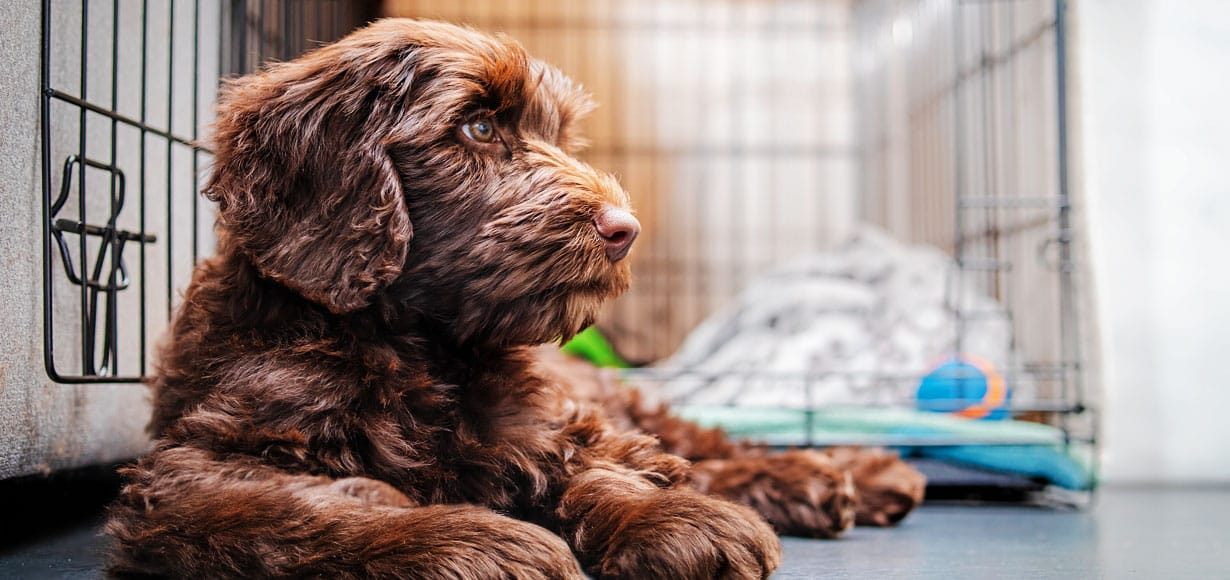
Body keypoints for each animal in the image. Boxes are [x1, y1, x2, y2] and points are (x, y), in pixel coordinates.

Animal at [105, 19, 924, 580]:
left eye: (557, 135)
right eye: (476, 126)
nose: (624, 230)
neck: (418, 345)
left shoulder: (544, 421)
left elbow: (599, 466)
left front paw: (670, 517)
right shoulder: (193, 473)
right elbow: (313, 508)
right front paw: (472, 543)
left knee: (709, 446)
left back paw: (847, 474)